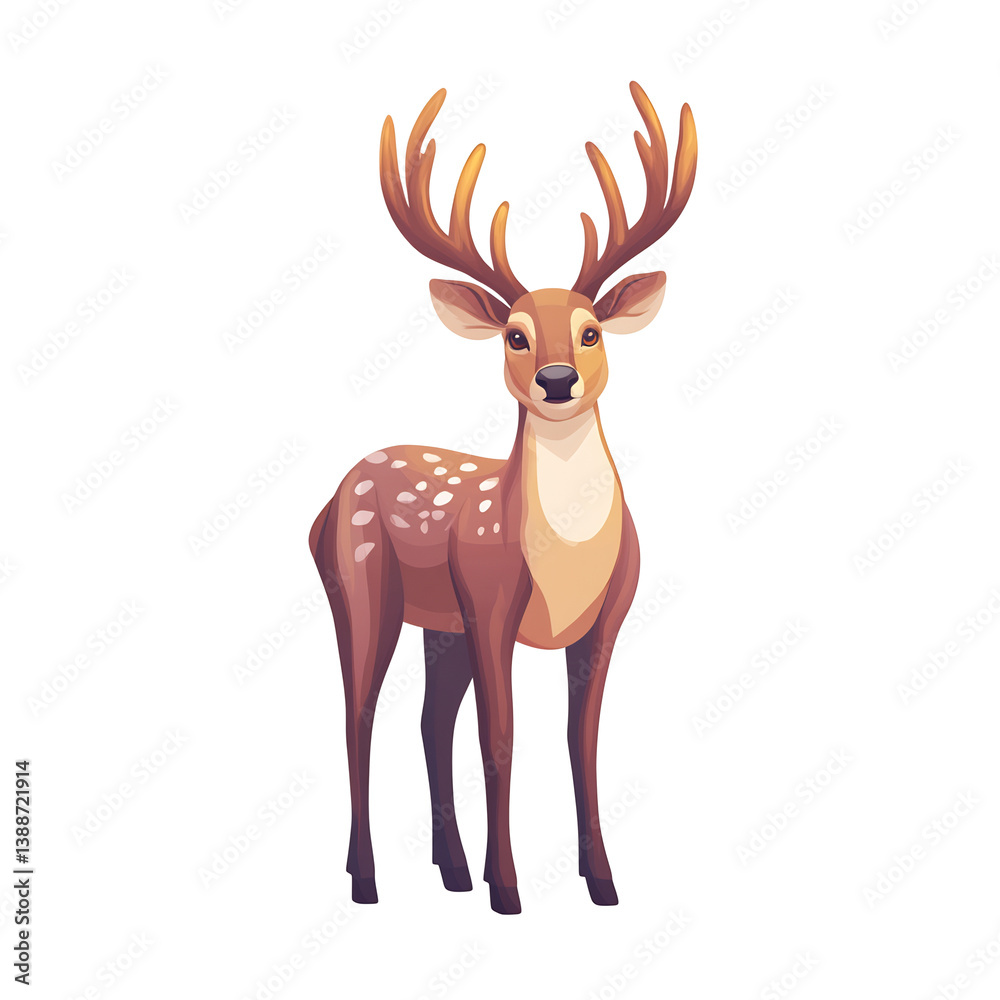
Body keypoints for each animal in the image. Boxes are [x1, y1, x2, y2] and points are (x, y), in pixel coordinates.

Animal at [309, 82, 697, 915]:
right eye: (514, 335)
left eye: (590, 330)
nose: (557, 380)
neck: (567, 565)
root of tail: (323, 508)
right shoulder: (489, 599)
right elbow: (501, 738)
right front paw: (509, 888)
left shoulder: (607, 617)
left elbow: (580, 740)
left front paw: (602, 882)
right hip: (360, 585)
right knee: (359, 716)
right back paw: (367, 879)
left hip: (439, 625)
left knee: (428, 722)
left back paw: (450, 870)